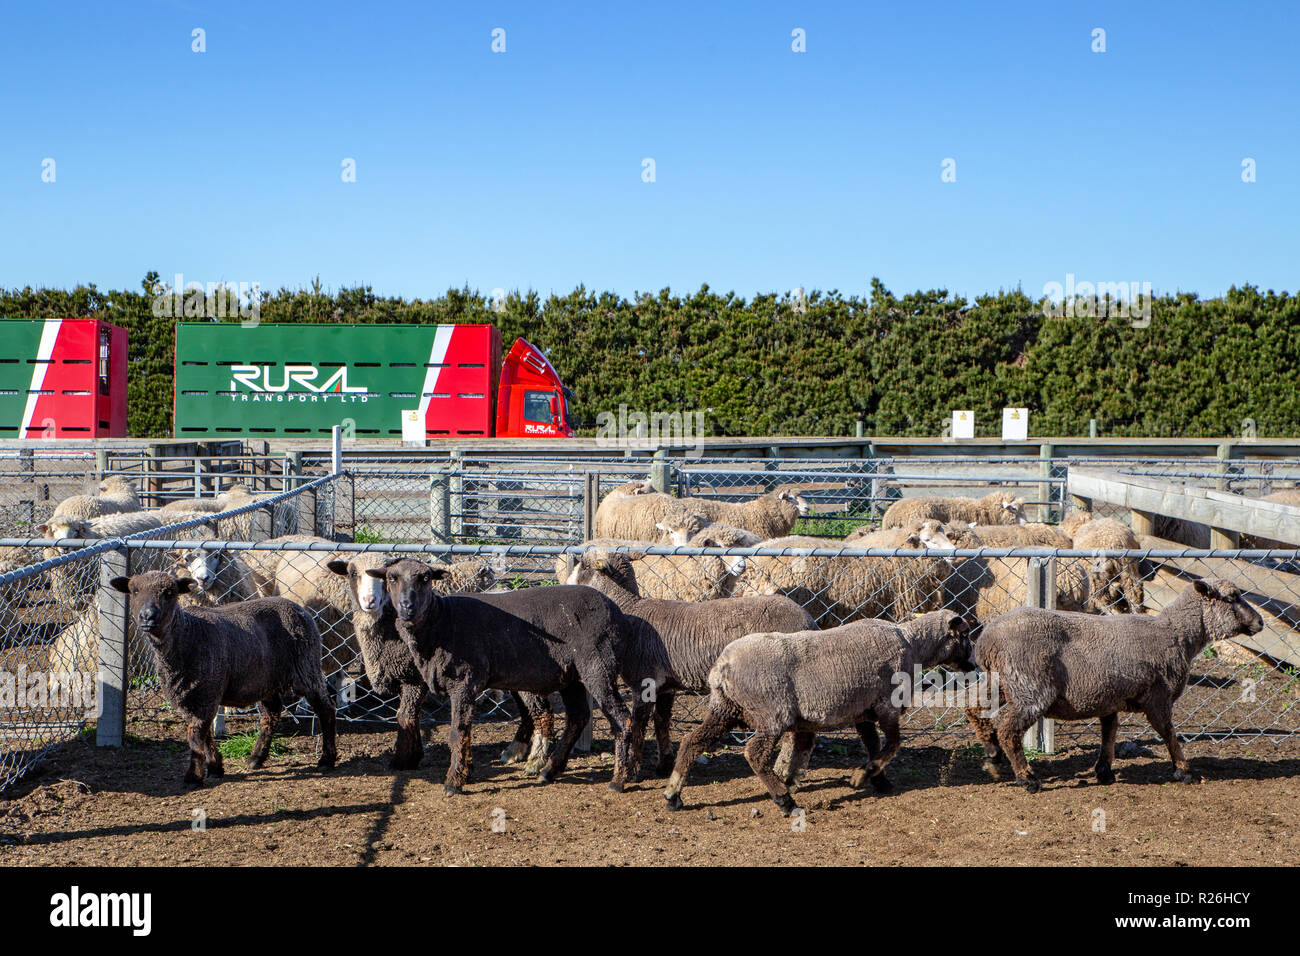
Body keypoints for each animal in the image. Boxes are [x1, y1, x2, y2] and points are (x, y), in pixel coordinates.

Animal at [665, 613, 972, 816]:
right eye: (966, 635)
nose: (972, 665)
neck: (912, 644)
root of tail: (722, 667)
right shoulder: (886, 705)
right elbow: (894, 744)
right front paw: (862, 777)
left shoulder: (863, 710)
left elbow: (873, 745)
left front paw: (878, 779)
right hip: (770, 712)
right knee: (754, 753)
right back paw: (785, 801)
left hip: (725, 709)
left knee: (692, 742)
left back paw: (672, 795)